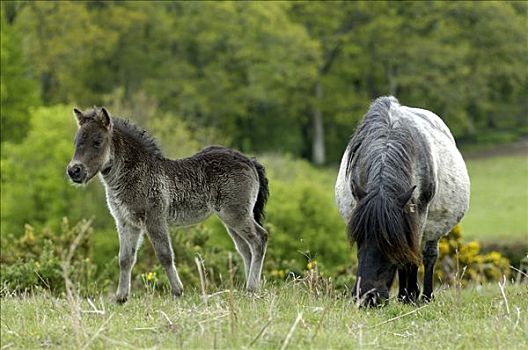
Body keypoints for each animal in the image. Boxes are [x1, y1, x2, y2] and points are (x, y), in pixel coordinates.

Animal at [66, 108, 270, 302]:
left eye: (97, 141)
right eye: (76, 141)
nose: (74, 171)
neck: (134, 174)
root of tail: (249, 161)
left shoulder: (154, 218)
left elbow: (165, 255)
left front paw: (177, 291)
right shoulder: (126, 222)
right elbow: (125, 258)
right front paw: (121, 297)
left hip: (235, 215)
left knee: (259, 239)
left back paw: (252, 287)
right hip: (231, 218)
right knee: (245, 249)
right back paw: (249, 289)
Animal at [336, 96, 468, 306]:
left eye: (389, 242)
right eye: (358, 238)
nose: (367, 296)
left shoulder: (418, 215)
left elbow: (411, 256)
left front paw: (411, 295)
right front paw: (406, 295)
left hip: (432, 229)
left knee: (429, 255)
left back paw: (425, 296)